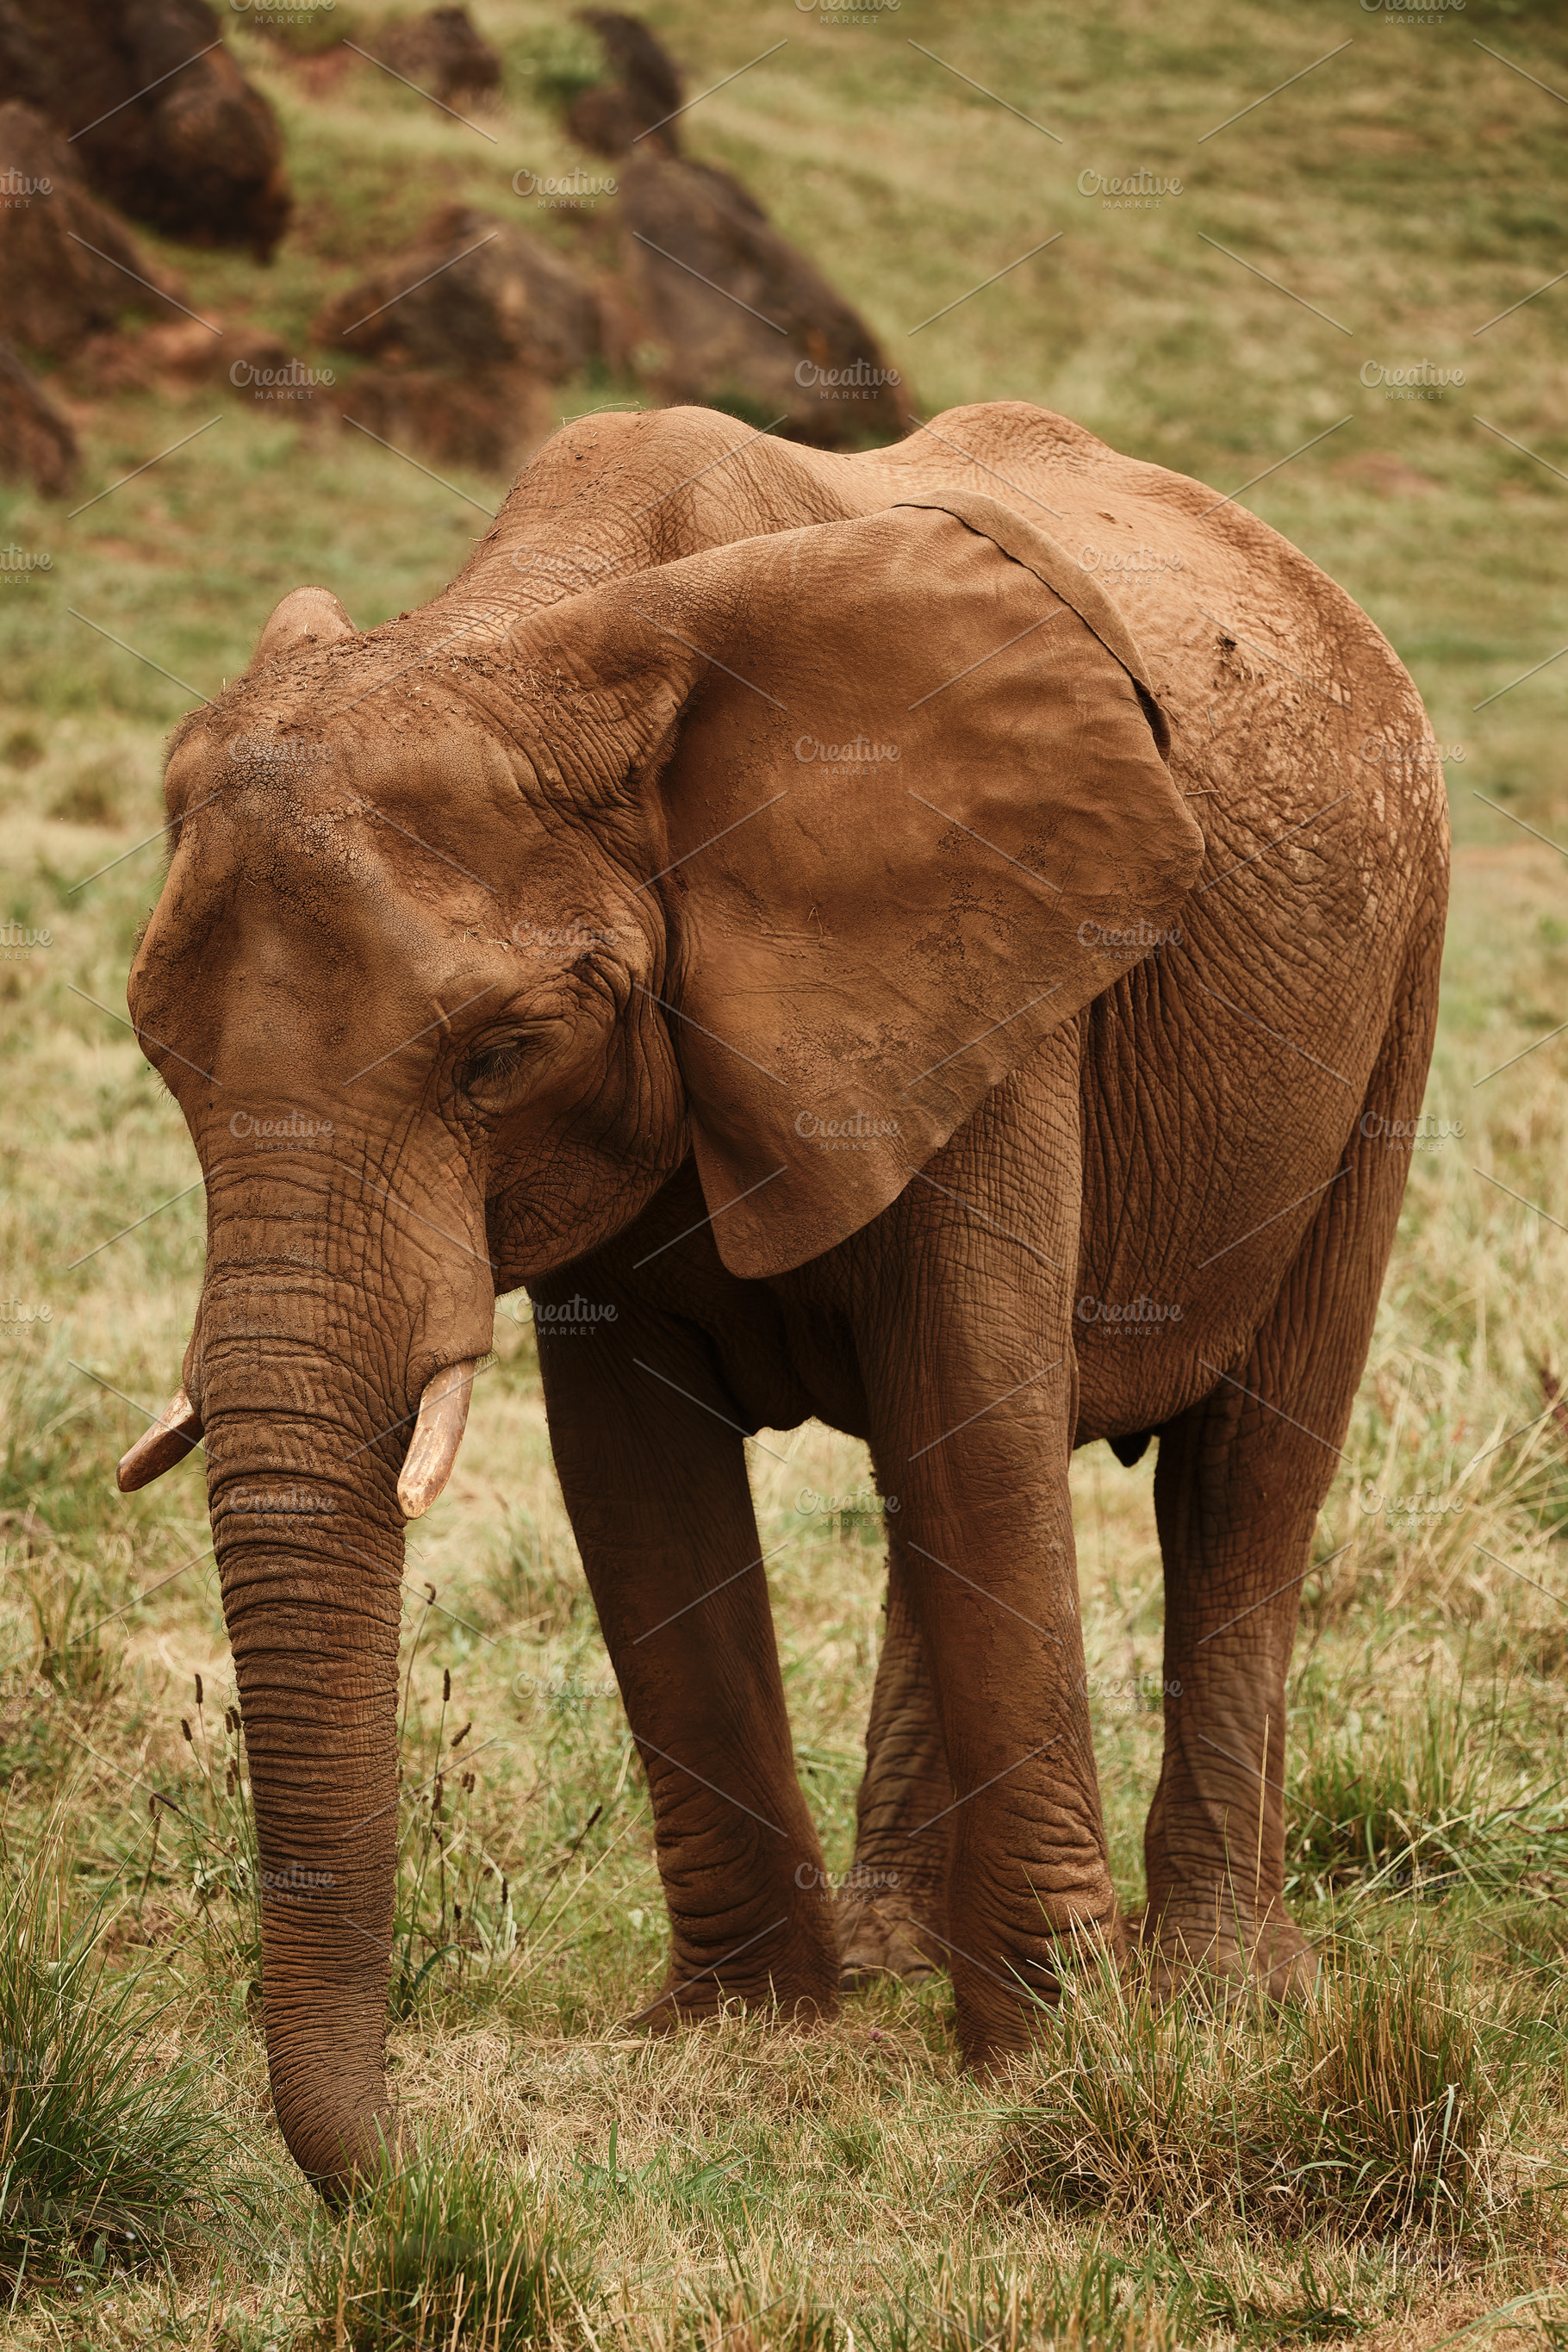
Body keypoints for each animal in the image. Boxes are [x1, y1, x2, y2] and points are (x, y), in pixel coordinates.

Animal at [117, 399, 1449, 2195]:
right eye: (158, 1054)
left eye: (498, 1056)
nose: (431, 2174)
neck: (532, 621)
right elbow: (642, 1485)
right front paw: (745, 2029)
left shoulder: (997, 960)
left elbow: (970, 1407)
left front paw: (1056, 2052)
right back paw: (898, 1952)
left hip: (1394, 975)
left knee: (1247, 1469)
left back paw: (1223, 1991)